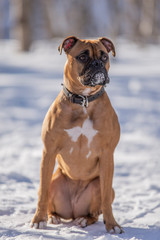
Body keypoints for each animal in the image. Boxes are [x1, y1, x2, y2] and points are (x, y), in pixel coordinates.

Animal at [30, 36, 123, 233]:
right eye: (82, 56)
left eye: (104, 56)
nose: (97, 64)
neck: (84, 101)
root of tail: (73, 211)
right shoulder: (48, 152)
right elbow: (42, 194)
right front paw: (38, 220)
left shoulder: (107, 154)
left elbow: (106, 200)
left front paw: (112, 225)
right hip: (55, 180)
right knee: (48, 197)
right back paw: (52, 217)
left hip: (101, 187)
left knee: (95, 212)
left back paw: (83, 220)